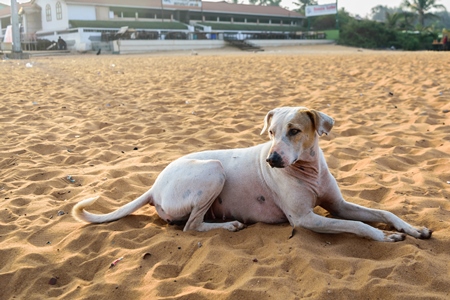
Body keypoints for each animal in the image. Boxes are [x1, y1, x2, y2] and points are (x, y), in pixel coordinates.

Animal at [74, 106, 432, 241]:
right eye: (271, 132)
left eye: (294, 131)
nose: (272, 159)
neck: (308, 171)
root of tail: (154, 186)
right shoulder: (305, 218)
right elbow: (358, 225)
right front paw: (384, 237)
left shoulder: (338, 206)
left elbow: (381, 211)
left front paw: (413, 229)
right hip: (214, 171)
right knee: (190, 227)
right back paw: (229, 225)